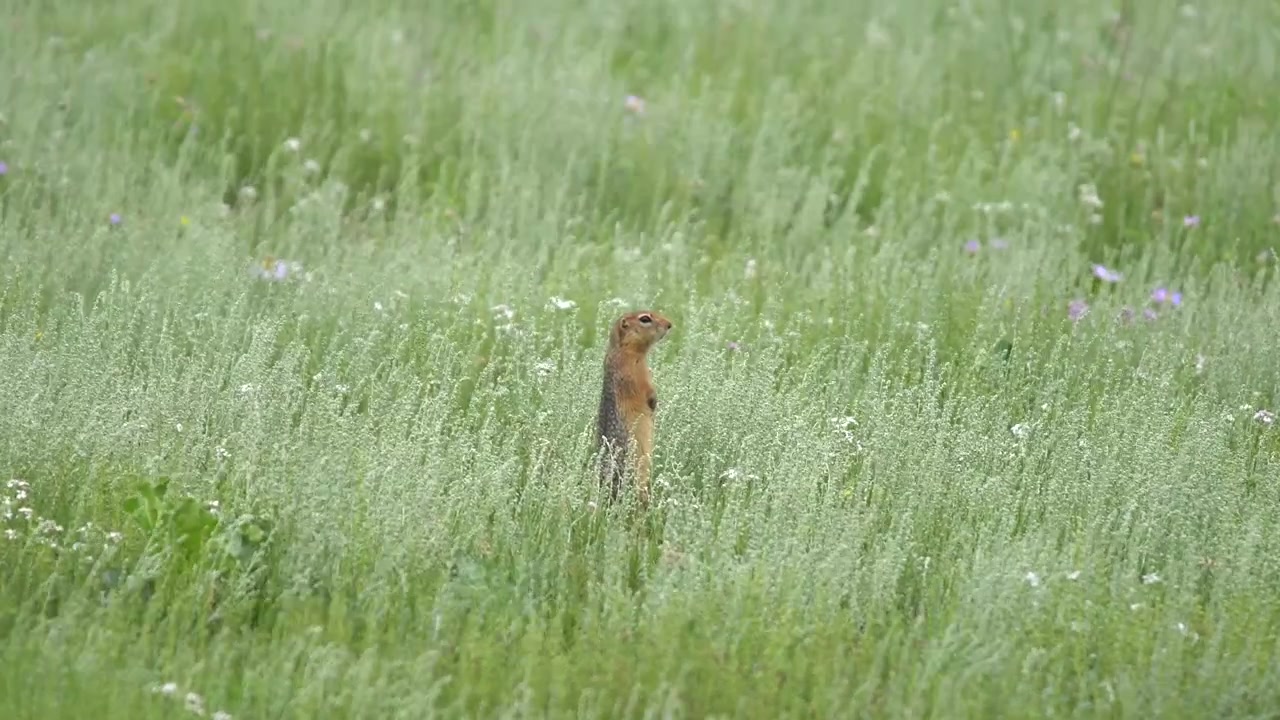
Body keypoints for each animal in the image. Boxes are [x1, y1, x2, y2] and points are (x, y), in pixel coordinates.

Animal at [595, 310, 673, 505]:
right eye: (645, 319)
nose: (670, 324)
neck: (623, 349)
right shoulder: (633, 372)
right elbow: (645, 389)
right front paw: (654, 402)